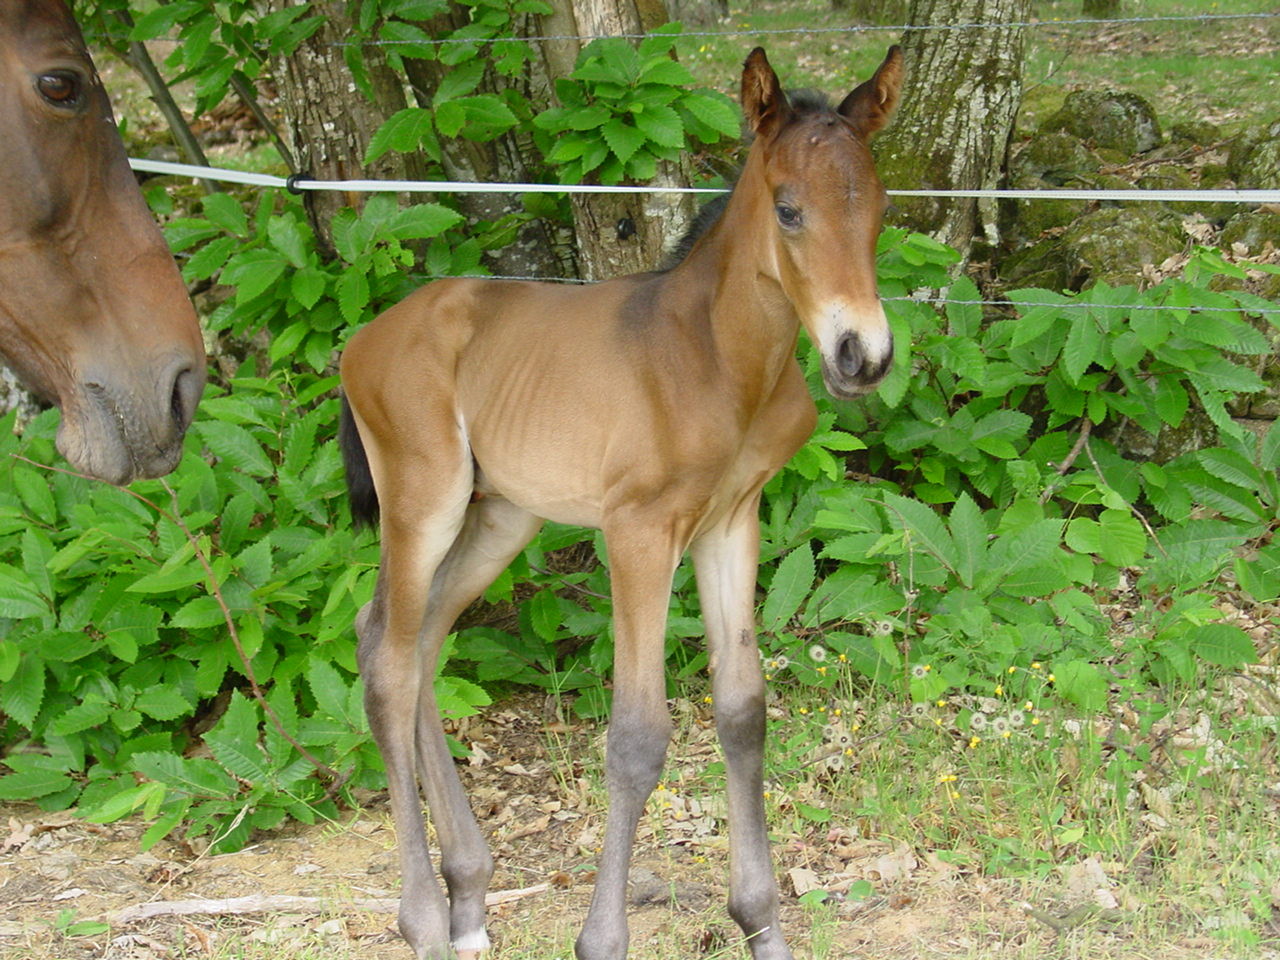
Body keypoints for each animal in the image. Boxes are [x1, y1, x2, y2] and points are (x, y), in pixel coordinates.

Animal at [337, 47, 901, 960]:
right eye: (789, 210)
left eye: (879, 209)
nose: (864, 355)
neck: (717, 357)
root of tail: (362, 340)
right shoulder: (639, 529)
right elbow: (638, 739)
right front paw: (602, 939)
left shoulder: (729, 522)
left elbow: (743, 711)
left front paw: (761, 923)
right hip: (424, 497)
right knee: (387, 656)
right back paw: (423, 918)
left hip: (502, 515)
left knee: (415, 640)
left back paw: (470, 896)